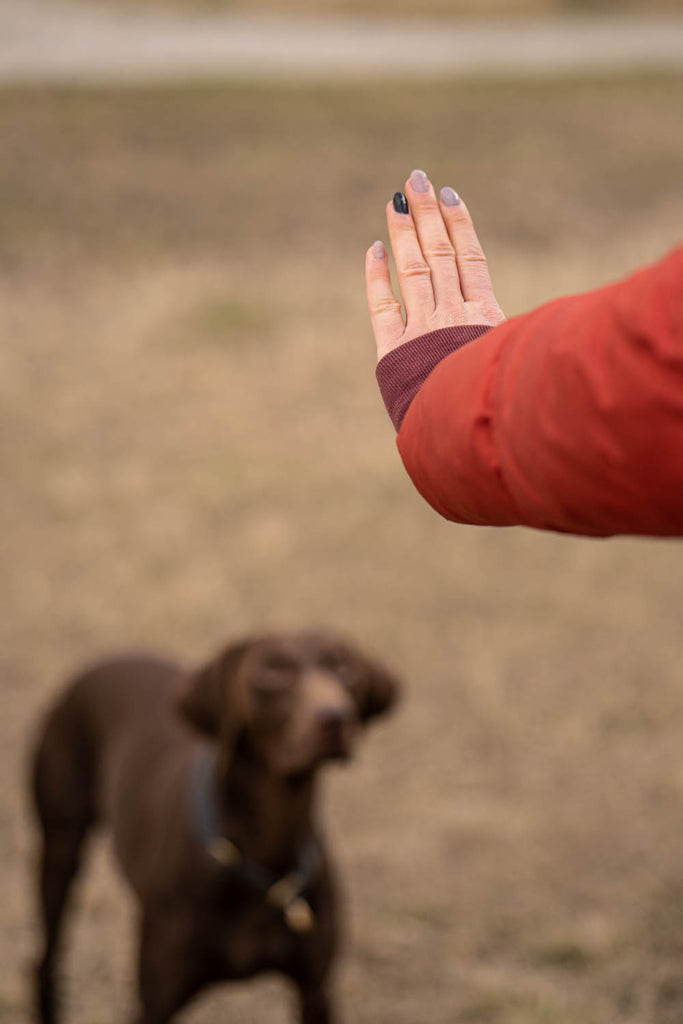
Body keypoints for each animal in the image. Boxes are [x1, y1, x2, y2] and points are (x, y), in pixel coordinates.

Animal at [30, 630, 401, 1024]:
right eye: (272, 672)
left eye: (343, 667)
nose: (335, 718)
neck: (265, 841)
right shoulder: (156, 1000)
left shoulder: (315, 991)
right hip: (59, 850)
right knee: (45, 959)